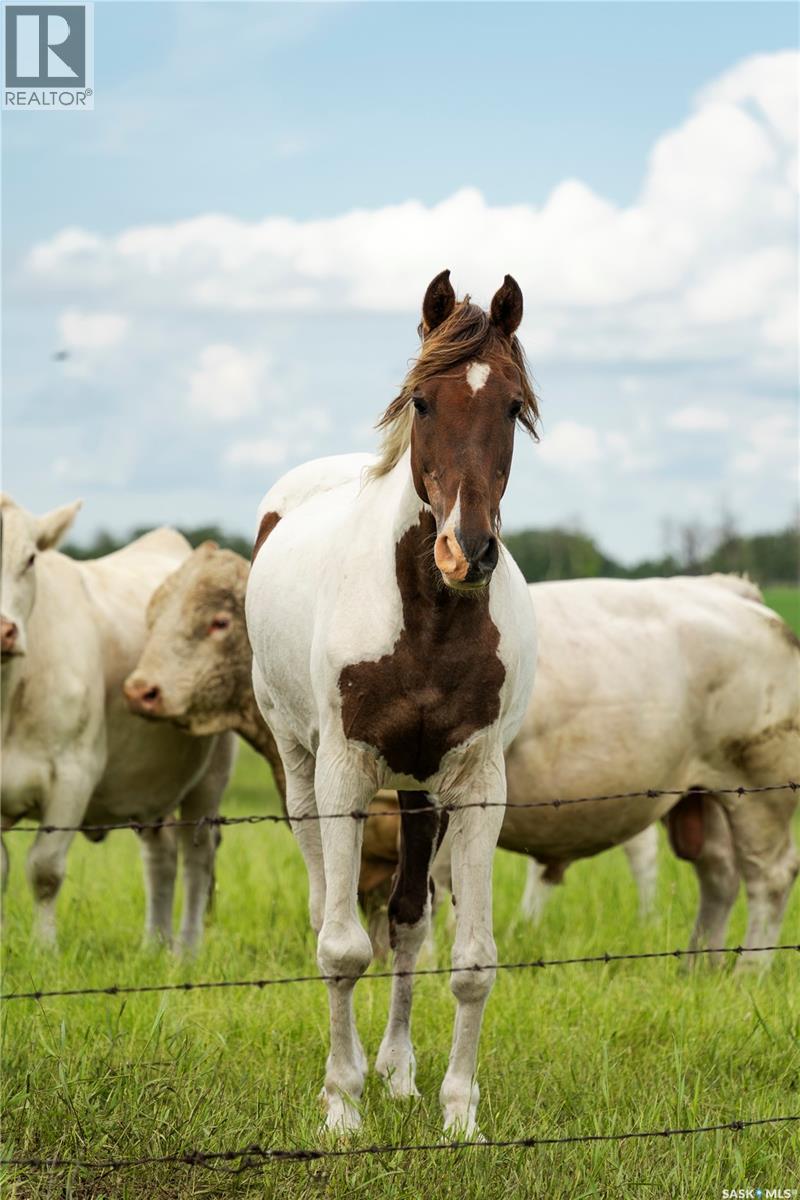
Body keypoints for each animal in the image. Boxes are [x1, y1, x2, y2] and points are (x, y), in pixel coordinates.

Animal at [0, 495, 235, 950]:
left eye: (30, 558)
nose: (3, 630)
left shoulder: (74, 772)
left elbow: (44, 869)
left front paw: (44, 950)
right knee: (161, 855)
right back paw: (154, 946)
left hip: (210, 776)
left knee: (197, 857)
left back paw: (187, 949)